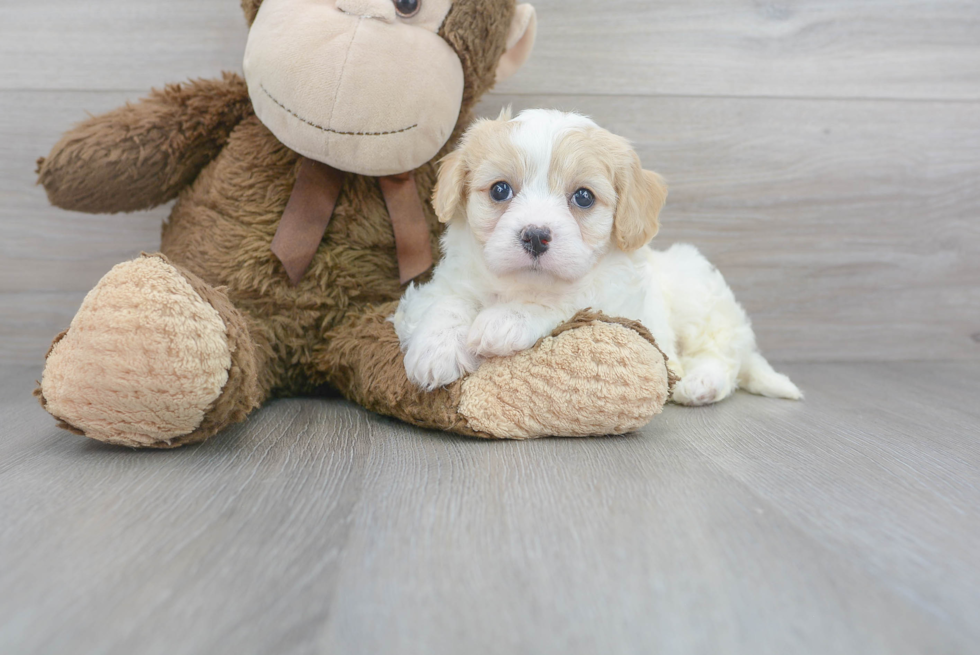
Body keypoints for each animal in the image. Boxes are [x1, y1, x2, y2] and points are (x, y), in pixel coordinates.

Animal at [394, 109, 800, 404]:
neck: (521, 283)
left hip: (697, 297)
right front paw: (436, 350)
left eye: (584, 197)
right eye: (500, 190)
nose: (536, 235)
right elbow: (449, 302)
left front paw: (505, 320)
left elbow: (568, 300)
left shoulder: (618, 303)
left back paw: (700, 383)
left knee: (723, 353)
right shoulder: (442, 284)